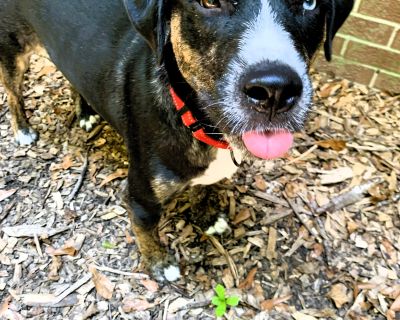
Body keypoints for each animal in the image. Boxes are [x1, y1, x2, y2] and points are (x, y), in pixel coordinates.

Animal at [0, 0, 354, 280]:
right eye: (209, 1)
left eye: (309, 3)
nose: (275, 90)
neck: (199, 123)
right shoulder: (140, 198)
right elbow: (146, 233)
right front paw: (160, 265)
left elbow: (206, 191)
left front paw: (209, 217)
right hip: (12, 50)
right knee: (13, 93)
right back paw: (23, 129)